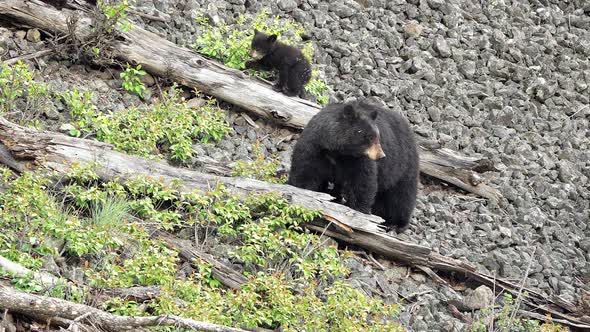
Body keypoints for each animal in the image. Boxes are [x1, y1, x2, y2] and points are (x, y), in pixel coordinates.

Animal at [288, 97, 420, 230]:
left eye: (378, 136)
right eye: (369, 137)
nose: (381, 155)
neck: (337, 152)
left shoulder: (358, 160)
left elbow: (362, 181)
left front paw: (359, 209)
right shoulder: (315, 147)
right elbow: (306, 169)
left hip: (403, 165)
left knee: (401, 195)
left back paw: (395, 223)